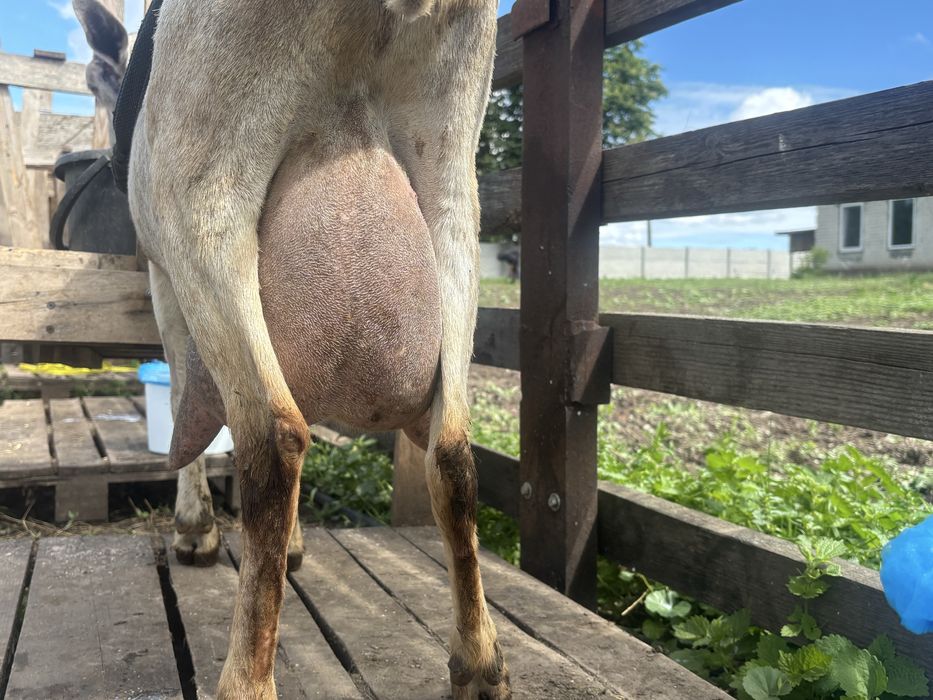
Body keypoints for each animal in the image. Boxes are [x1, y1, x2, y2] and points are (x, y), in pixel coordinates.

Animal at [74, 0, 507, 697]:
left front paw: (194, 528)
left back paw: (246, 679)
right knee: (452, 452)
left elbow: (182, 383)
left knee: (274, 439)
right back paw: (480, 662)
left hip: (200, 193)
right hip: (452, 198)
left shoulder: (163, 273)